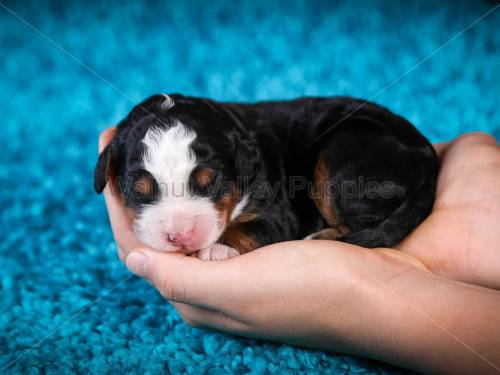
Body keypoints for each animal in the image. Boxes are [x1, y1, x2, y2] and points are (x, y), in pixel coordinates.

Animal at [94, 94, 438, 262]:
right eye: (139, 190)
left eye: (211, 183)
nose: (180, 236)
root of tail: (427, 157)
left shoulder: (279, 214)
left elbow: (253, 228)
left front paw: (217, 248)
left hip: (341, 157)